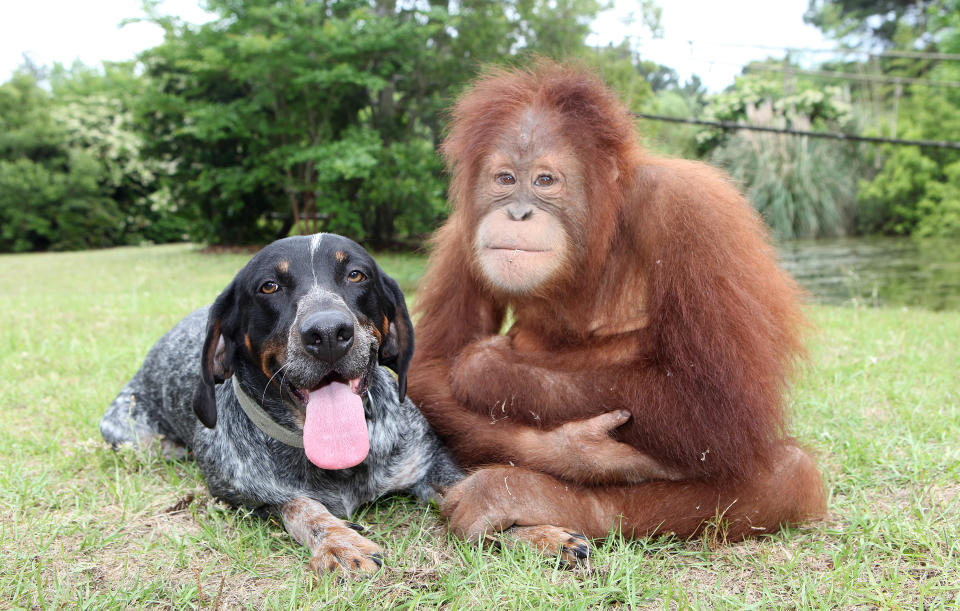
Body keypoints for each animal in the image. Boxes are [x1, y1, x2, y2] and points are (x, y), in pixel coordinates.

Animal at [103, 232, 464, 576]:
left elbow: (462, 487)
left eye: (356, 275)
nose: (328, 333)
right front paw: (338, 542)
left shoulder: (430, 460)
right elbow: (300, 506)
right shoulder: (243, 498)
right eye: (269, 286)